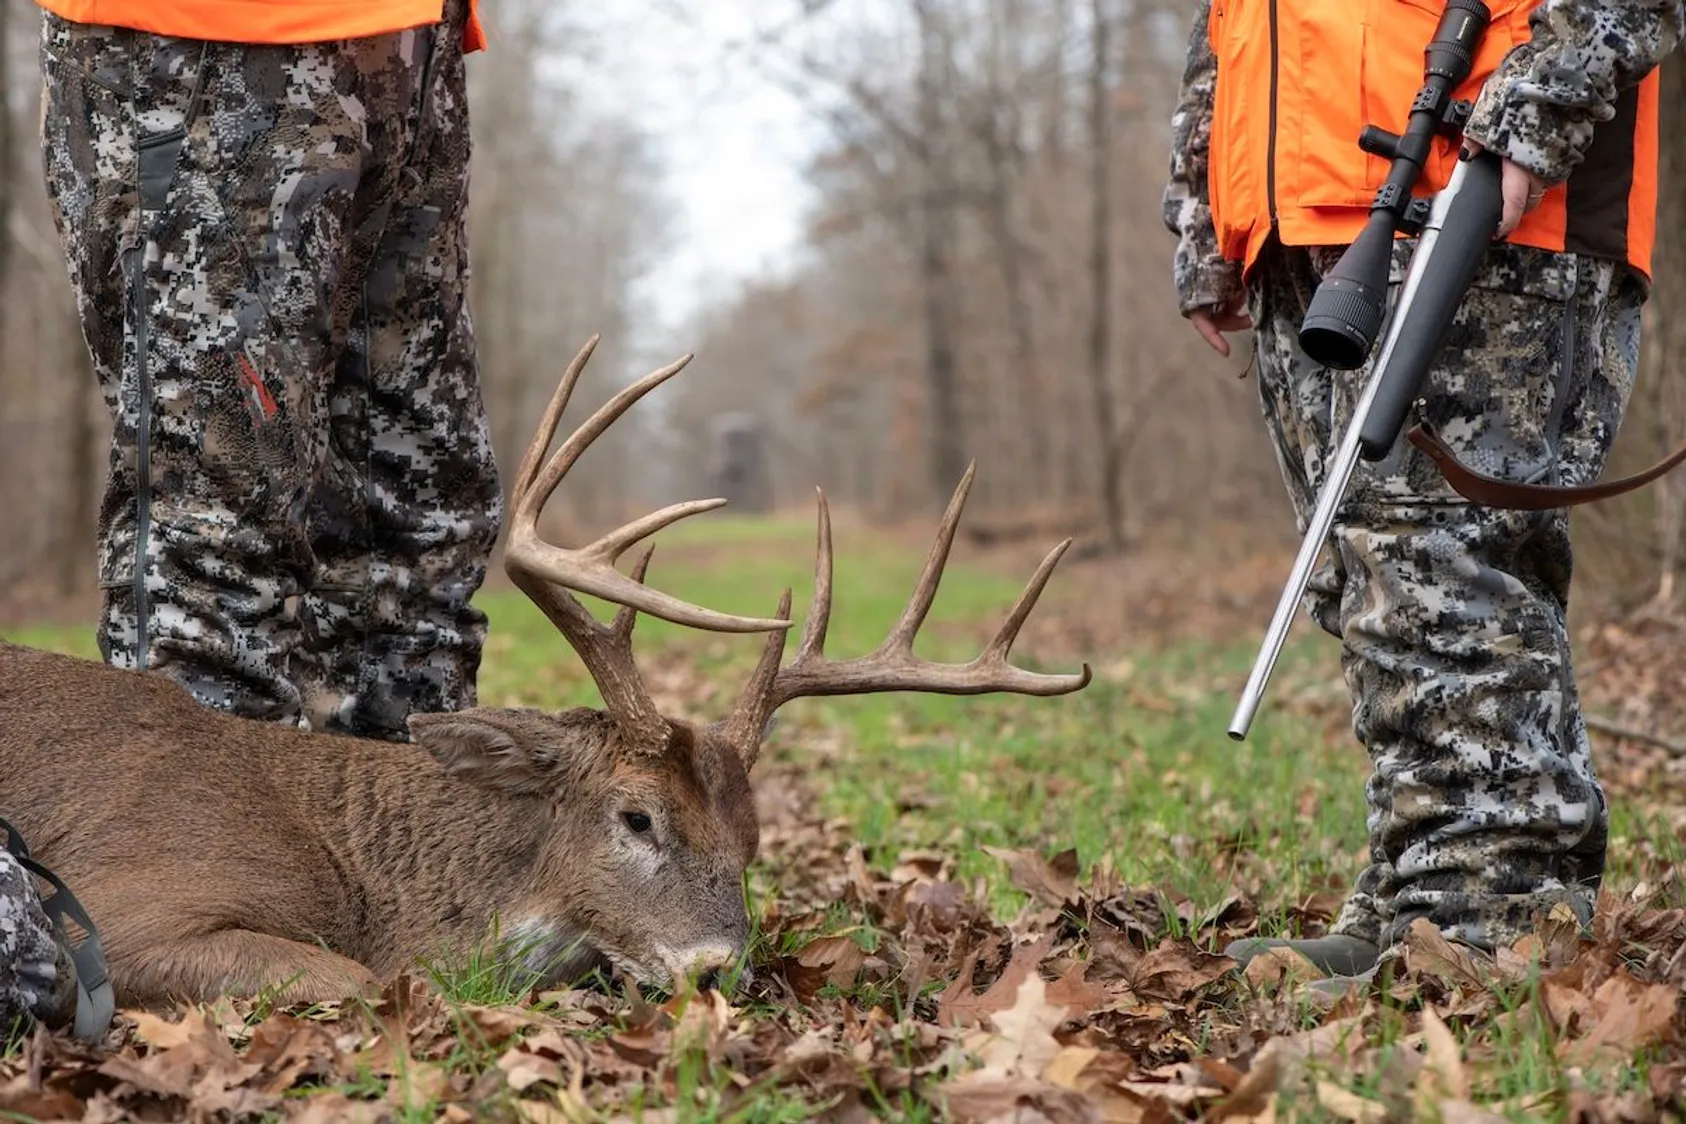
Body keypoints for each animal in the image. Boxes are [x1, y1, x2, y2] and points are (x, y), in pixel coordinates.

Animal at [0, 336, 1091, 1011]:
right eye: (637, 817)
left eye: (752, 838)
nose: (716, 969)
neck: (359, 866)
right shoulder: (123, 907)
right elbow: (361, 981)